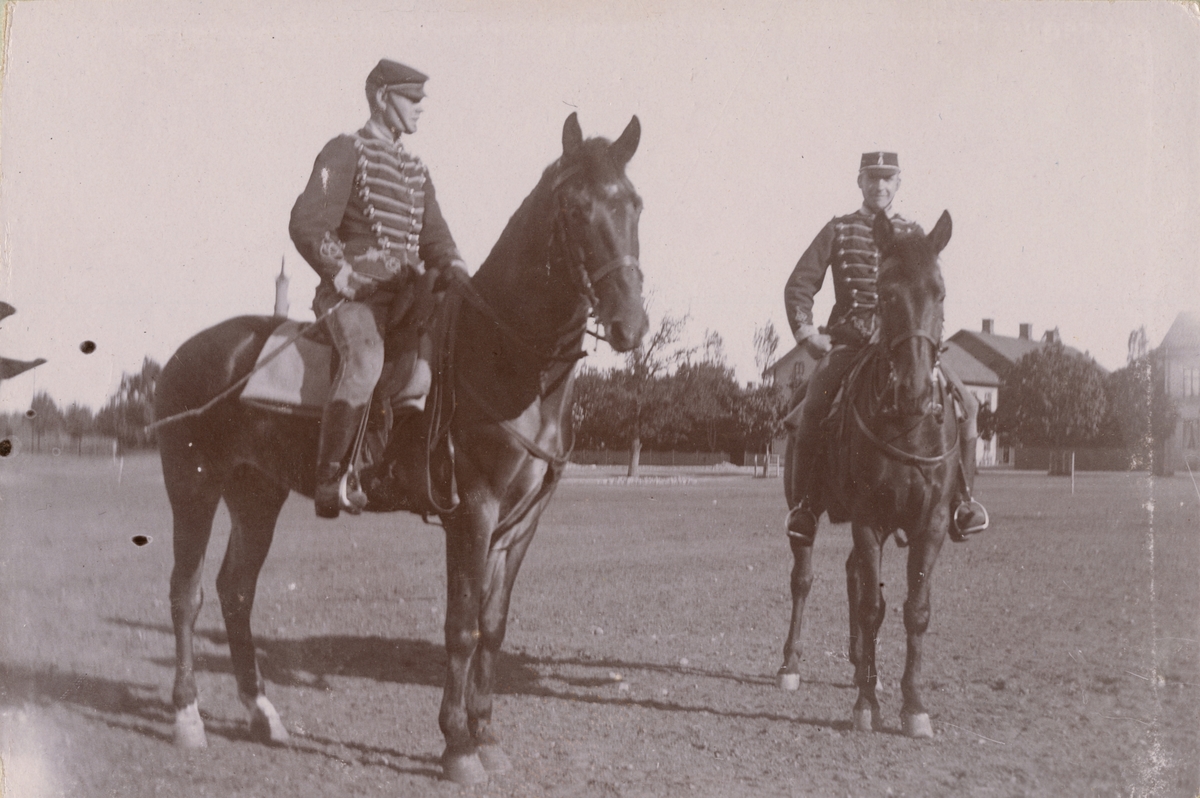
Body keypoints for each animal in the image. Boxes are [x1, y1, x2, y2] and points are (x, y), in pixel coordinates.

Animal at [156, 113, 648, 784]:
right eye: (574, 209)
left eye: (635, 205)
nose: (631, 325)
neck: (504, 356)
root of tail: (183, 354)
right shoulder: (472, 512)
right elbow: (461, 628)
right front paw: (458, 747)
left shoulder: (522, 523)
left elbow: (493, 627)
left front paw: (487, 736)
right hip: (193, 484)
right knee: (187, 593)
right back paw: (187, 717)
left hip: (256, 494)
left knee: (236, 591)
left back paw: (263, 714)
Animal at [777, 210, 959, 738]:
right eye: (885, 292)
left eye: (940, 291)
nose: (915, 390)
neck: (907, 427)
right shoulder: (868, 519)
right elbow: (873, 607)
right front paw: (865, 706)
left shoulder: (931, 526)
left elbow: (915, 611)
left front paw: (913, 705)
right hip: (805, 513)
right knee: (804, 578)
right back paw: (791, 665)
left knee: (853, 575)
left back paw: (862, 666)